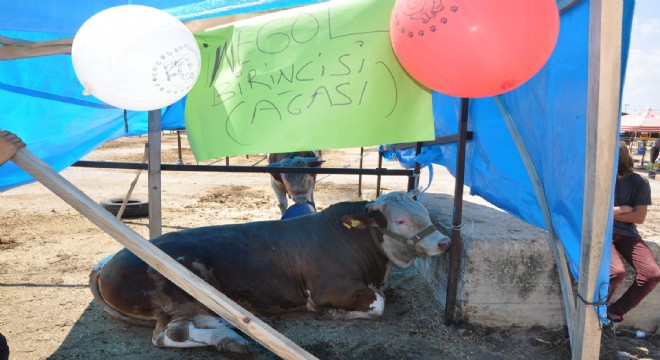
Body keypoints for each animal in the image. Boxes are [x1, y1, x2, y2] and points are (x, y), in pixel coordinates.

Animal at [89, 193, 448, 352]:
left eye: (425, 212)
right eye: (400, 220)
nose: (444, 241)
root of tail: (109, 261)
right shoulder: (328, 288)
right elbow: (378, 304)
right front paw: (334, 314)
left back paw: (235, 325)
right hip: (181, 292)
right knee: (169, 334)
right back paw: (231, 340)